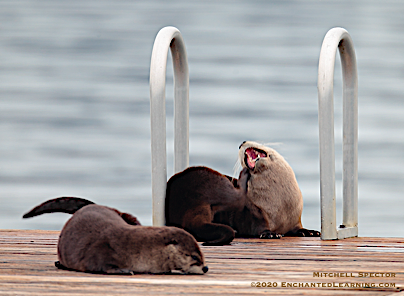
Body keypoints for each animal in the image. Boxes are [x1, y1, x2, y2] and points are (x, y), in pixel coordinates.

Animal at [22, 197, 208, 276]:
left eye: (202, 255)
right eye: (193, 256)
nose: (205, 268)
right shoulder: (101, 251)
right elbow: (101, 265)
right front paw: (124, 270)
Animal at [164, 141, 318, 245]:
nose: (241, 144)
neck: (280, 203)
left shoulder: (295, 216)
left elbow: (298, 227)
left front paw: (309, 231)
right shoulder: (255, 212)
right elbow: (259, 225)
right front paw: (269, 234)